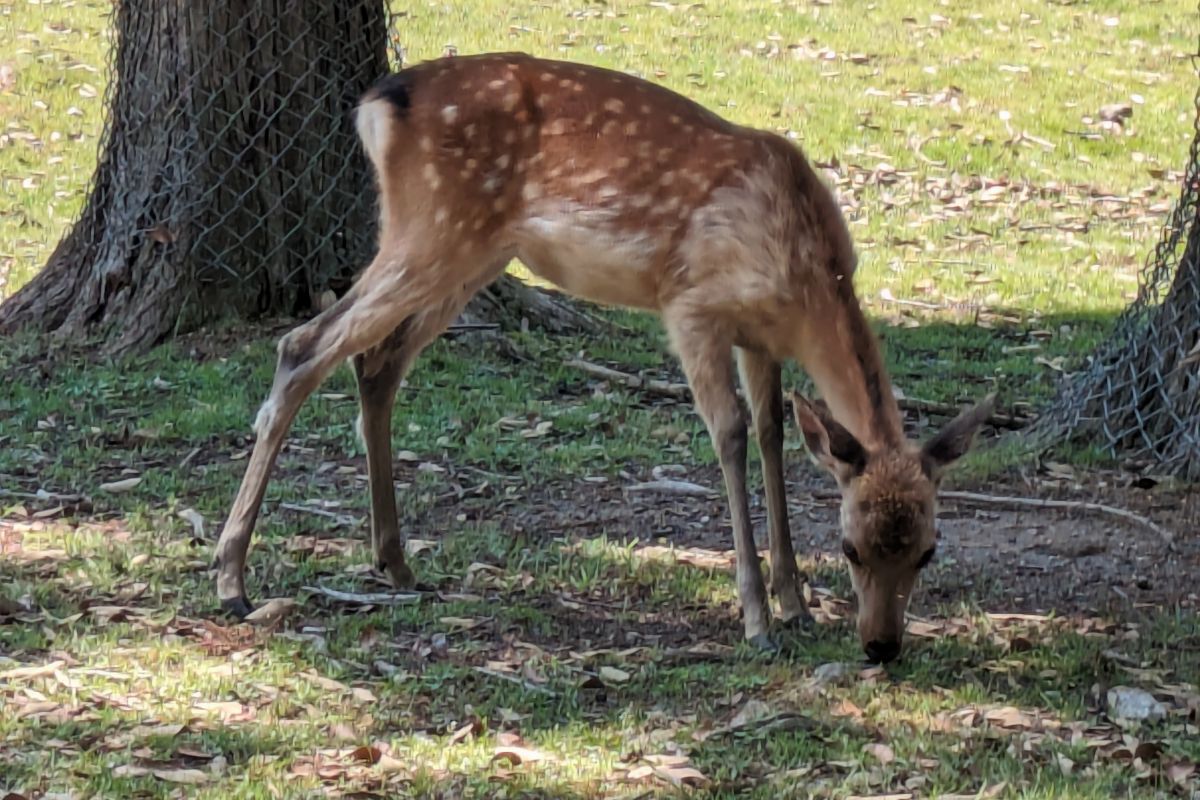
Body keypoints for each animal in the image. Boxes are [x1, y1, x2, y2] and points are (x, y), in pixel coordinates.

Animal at [208, 50, 993, 662]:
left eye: (927, 548)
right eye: (853, 548)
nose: (882, 646)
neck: (806, 281)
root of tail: (377, 104)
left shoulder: (759, 338)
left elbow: (774, 437)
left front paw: (795, 603)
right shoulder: (692, 306)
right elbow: (732, 436)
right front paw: (757, 620)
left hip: (467, 251)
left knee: (378, 363)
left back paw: (394, 563)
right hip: (433, 227)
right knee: (303, 346)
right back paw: (231, 579)